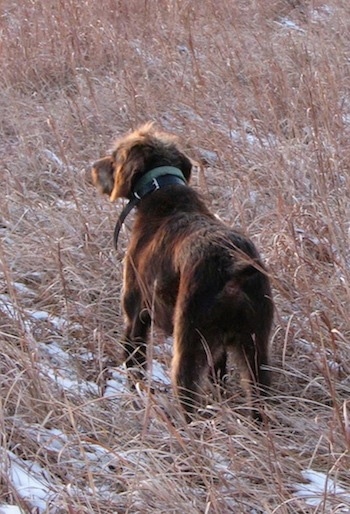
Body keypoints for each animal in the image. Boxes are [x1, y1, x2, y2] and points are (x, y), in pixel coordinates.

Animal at [92, 122, 274, 418]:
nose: (94, 168)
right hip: (256, 350)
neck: (164, 194)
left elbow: (134, 364)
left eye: (114, 156)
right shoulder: (221, 351)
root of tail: (234, 268)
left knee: (187, 401)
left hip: (188, 346)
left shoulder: (135, 316)